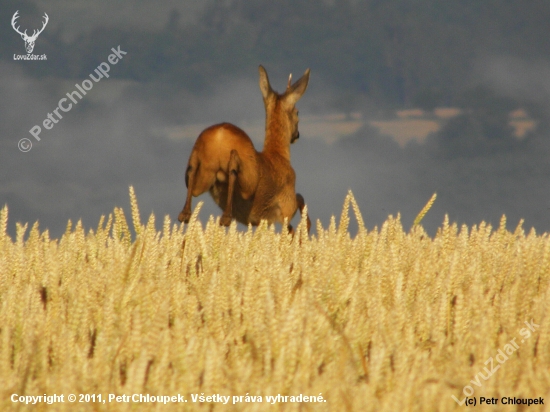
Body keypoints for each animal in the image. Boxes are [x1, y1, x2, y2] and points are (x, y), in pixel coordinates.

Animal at [180, 64, 312, 232]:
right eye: (297, 112)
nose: (297, 135)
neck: (279, 155)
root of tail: (219, 133)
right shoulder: (287, 205)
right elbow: (300, 198)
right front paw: (306, 227)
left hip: (205, 173)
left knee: (191, 174)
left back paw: (185, 214)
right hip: (249, 181)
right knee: (234, 170)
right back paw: (225, 217)